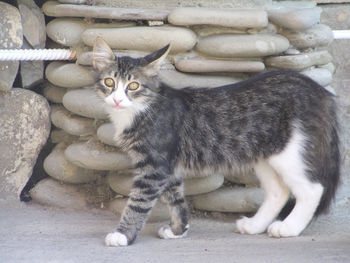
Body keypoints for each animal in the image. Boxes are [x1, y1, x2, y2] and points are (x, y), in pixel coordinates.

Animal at [92, 37, 340, 248]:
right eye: (109, 82)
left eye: (133, 86)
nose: (117, 99)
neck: (141, 110)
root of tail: (318, 90)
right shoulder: (168, 166)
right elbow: (176, 199)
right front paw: (178, 230)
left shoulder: (155, 167)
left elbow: (138, 203)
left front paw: (123, 235)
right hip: (264, 153)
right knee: (279, 191)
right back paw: (254, 225)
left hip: (290, 152)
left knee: (312, 189)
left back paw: (289, 228)